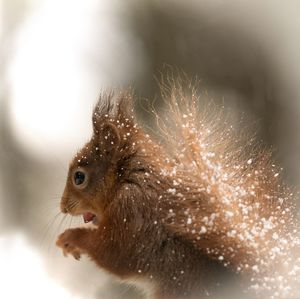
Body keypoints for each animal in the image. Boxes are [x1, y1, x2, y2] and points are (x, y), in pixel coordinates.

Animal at [55, 84, 300, 299]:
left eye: (79, 177)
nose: (63, 207)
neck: (128, 179)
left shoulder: (133, 211)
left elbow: (114, 252)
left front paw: (71, 238)